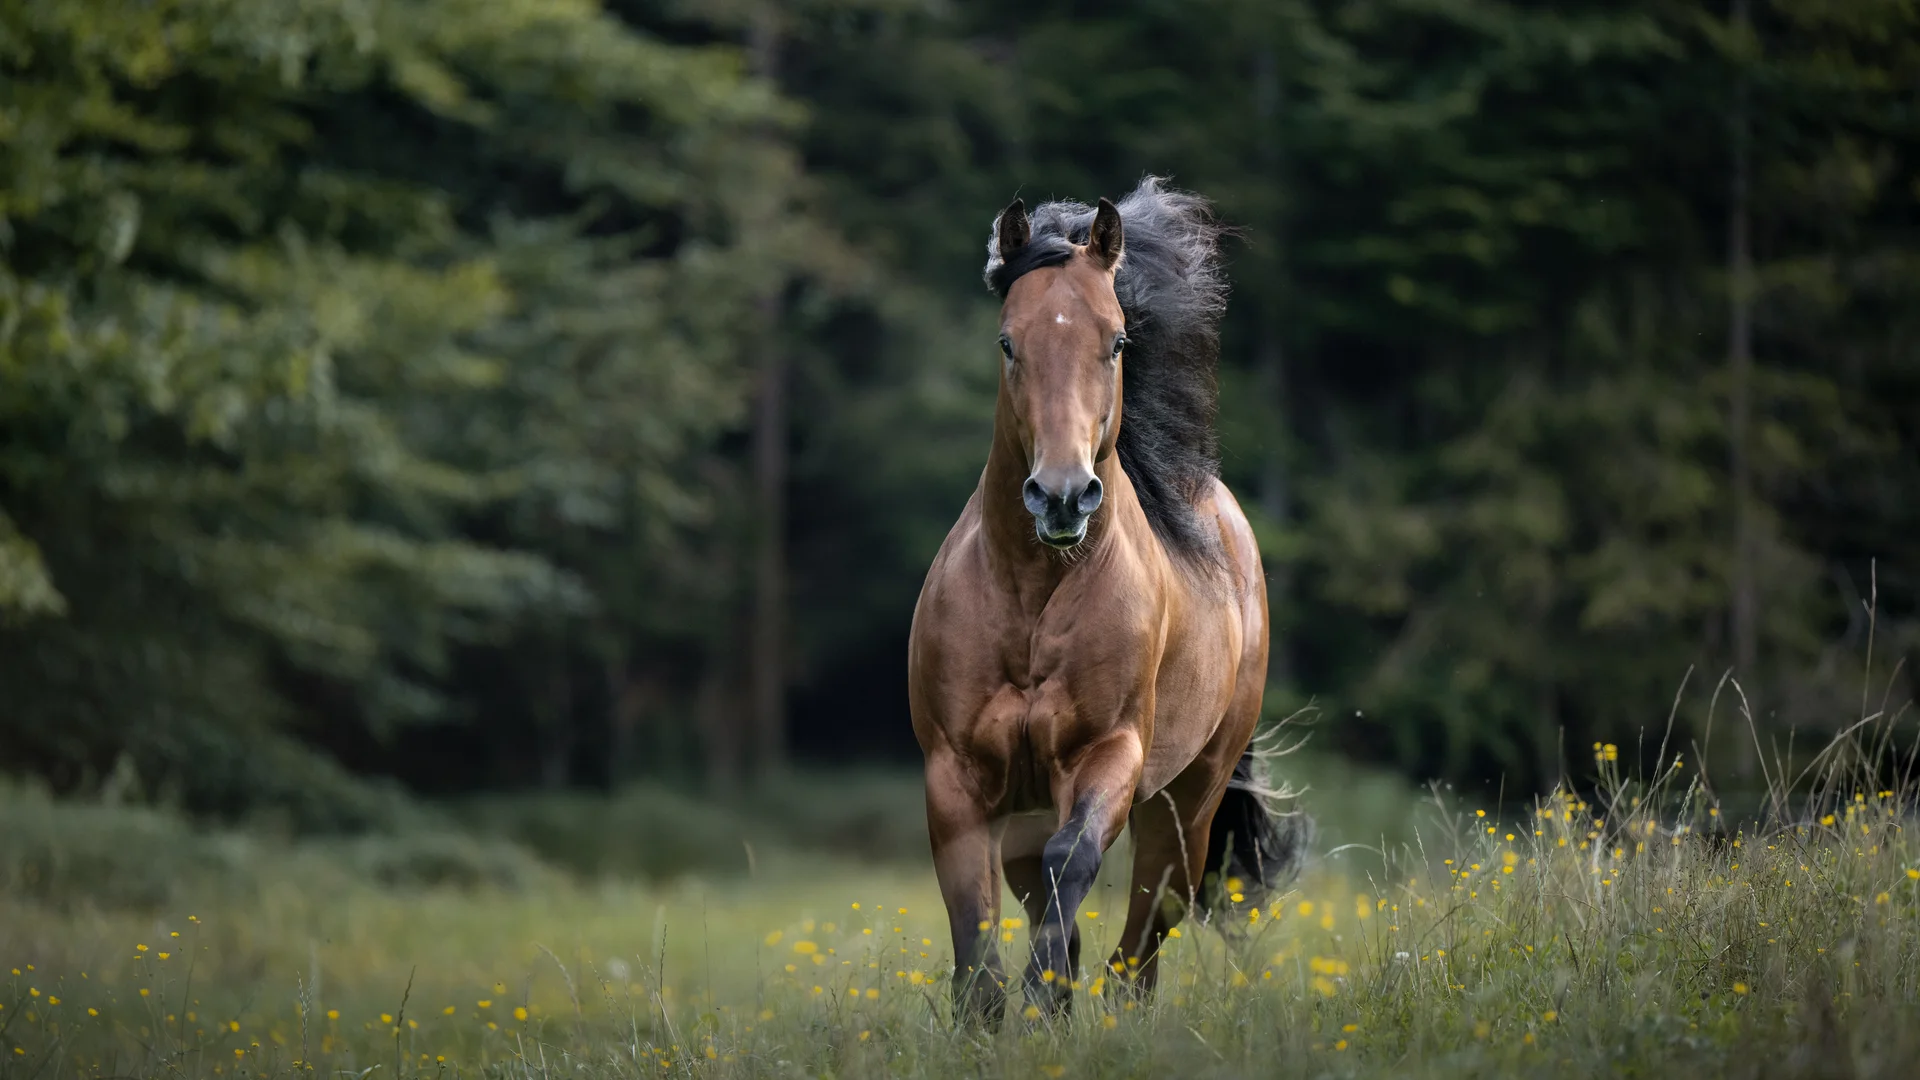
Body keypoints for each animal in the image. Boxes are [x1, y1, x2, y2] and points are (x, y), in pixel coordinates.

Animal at [907, 177, 1310, 1025]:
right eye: (1008, 343)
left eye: (1117, 341)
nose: (1062, 495)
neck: (1033, 597)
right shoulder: (955, 774)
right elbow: (973, 918)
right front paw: (993, 1017)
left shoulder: (1108, 755)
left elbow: (1075, 863)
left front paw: (1036, 1001)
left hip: (1187, 806)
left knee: (1147, 928)